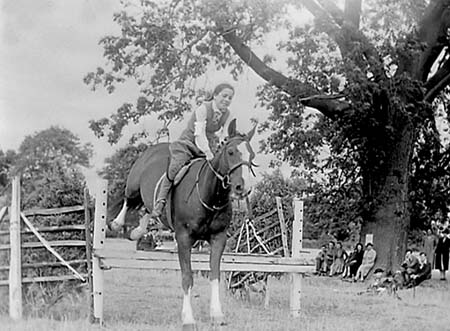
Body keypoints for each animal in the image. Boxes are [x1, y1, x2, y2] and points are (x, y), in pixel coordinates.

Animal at [109, 119, 256, 330]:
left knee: (147, 210)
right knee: (129, 200)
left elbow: (215, 274)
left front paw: (217, 314)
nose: (243, 188)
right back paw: (116, 224)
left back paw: (137, 231)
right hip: (134, 184)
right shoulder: (184, 239)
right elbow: (187, 277)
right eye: (230, 152)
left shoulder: (218, 238)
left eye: (252, 155)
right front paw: (188, 318)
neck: (209, 195)